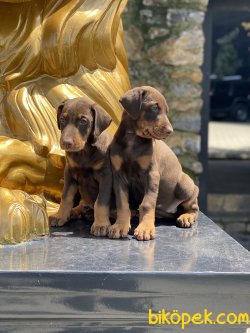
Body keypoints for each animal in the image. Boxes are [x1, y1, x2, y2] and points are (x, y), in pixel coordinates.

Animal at [48, 96, 111, 226]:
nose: (66, 143)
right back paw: (78, 211)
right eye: (62, 119)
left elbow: (101, 202)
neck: (84, 151)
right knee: (83, 203)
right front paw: (60, 216)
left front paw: (101, 224)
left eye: (83, 121)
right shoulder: (70, 172)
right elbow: (66, 197)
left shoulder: (106, 175)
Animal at [106, 86, 198, 239]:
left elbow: (147, 203)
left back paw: (186, 217)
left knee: (194, 206)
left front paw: (145, 229)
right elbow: (122, 203)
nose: (170, 131)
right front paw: (120, 226)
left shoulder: (151, 174)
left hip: (183, 185)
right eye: (154, 107)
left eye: (167, 111)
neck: (132, 139)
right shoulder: (118, 175)